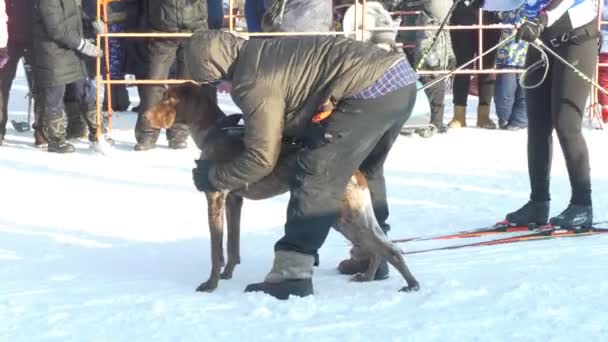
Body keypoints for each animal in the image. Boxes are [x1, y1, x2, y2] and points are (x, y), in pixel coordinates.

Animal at [145, 83, 420, 294]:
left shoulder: (215, 197)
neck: (214, 132)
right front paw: (227, 274)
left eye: (169, 98)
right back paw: (369, 276)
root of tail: (356, 171)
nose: (145, 116)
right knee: (380, 247)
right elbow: (232, 246)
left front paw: (211, 284)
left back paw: (410, 284)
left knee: (389, 248)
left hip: (345, 217)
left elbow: (216, 250)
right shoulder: (234, 200)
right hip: (347, 217)